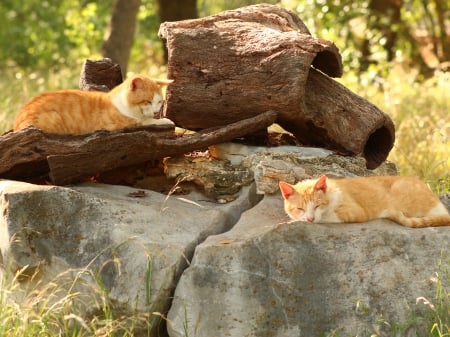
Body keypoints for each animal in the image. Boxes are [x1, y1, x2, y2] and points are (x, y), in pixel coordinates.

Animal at [12, 74, 174, 135]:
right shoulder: (117, 124)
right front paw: (164, 120)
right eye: (148, 101)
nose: (156, 112)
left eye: (159, 102)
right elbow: (146, 121)